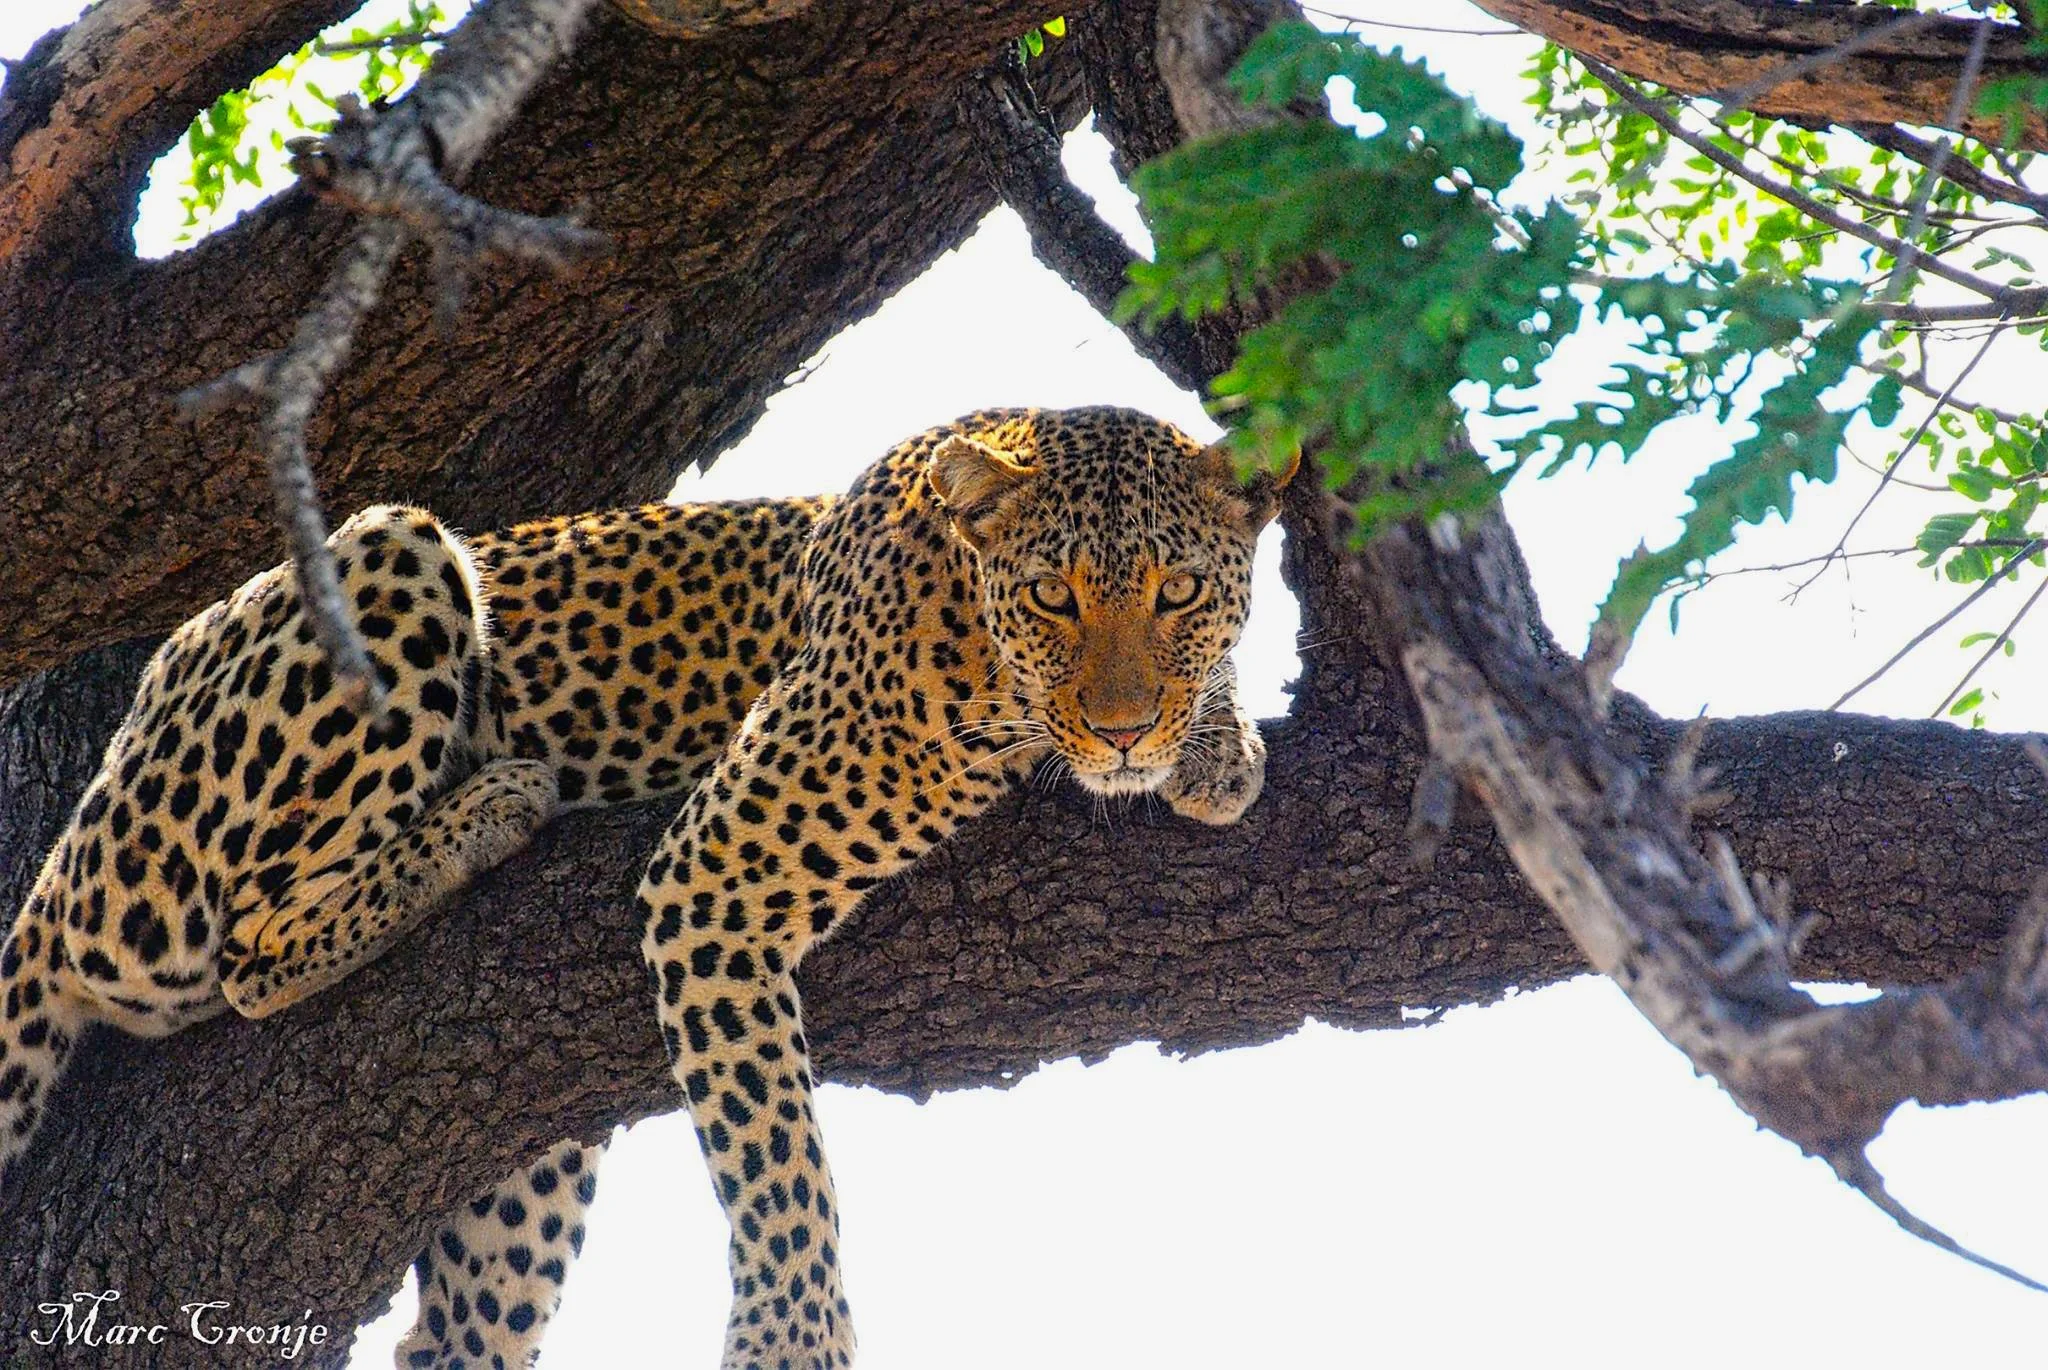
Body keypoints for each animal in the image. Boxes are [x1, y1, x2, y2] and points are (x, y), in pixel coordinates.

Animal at [0, 406, 1295, 1370]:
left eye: (1178, 594)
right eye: (1051, 597)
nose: (1123, 731)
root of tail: (60, 864)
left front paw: (1215, 747)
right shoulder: (720, 867)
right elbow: (774, 1151)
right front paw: (792, 1337)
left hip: (526, 1164)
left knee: (452, 1327)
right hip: (379, 567)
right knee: (250, 949)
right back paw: (488, 805)